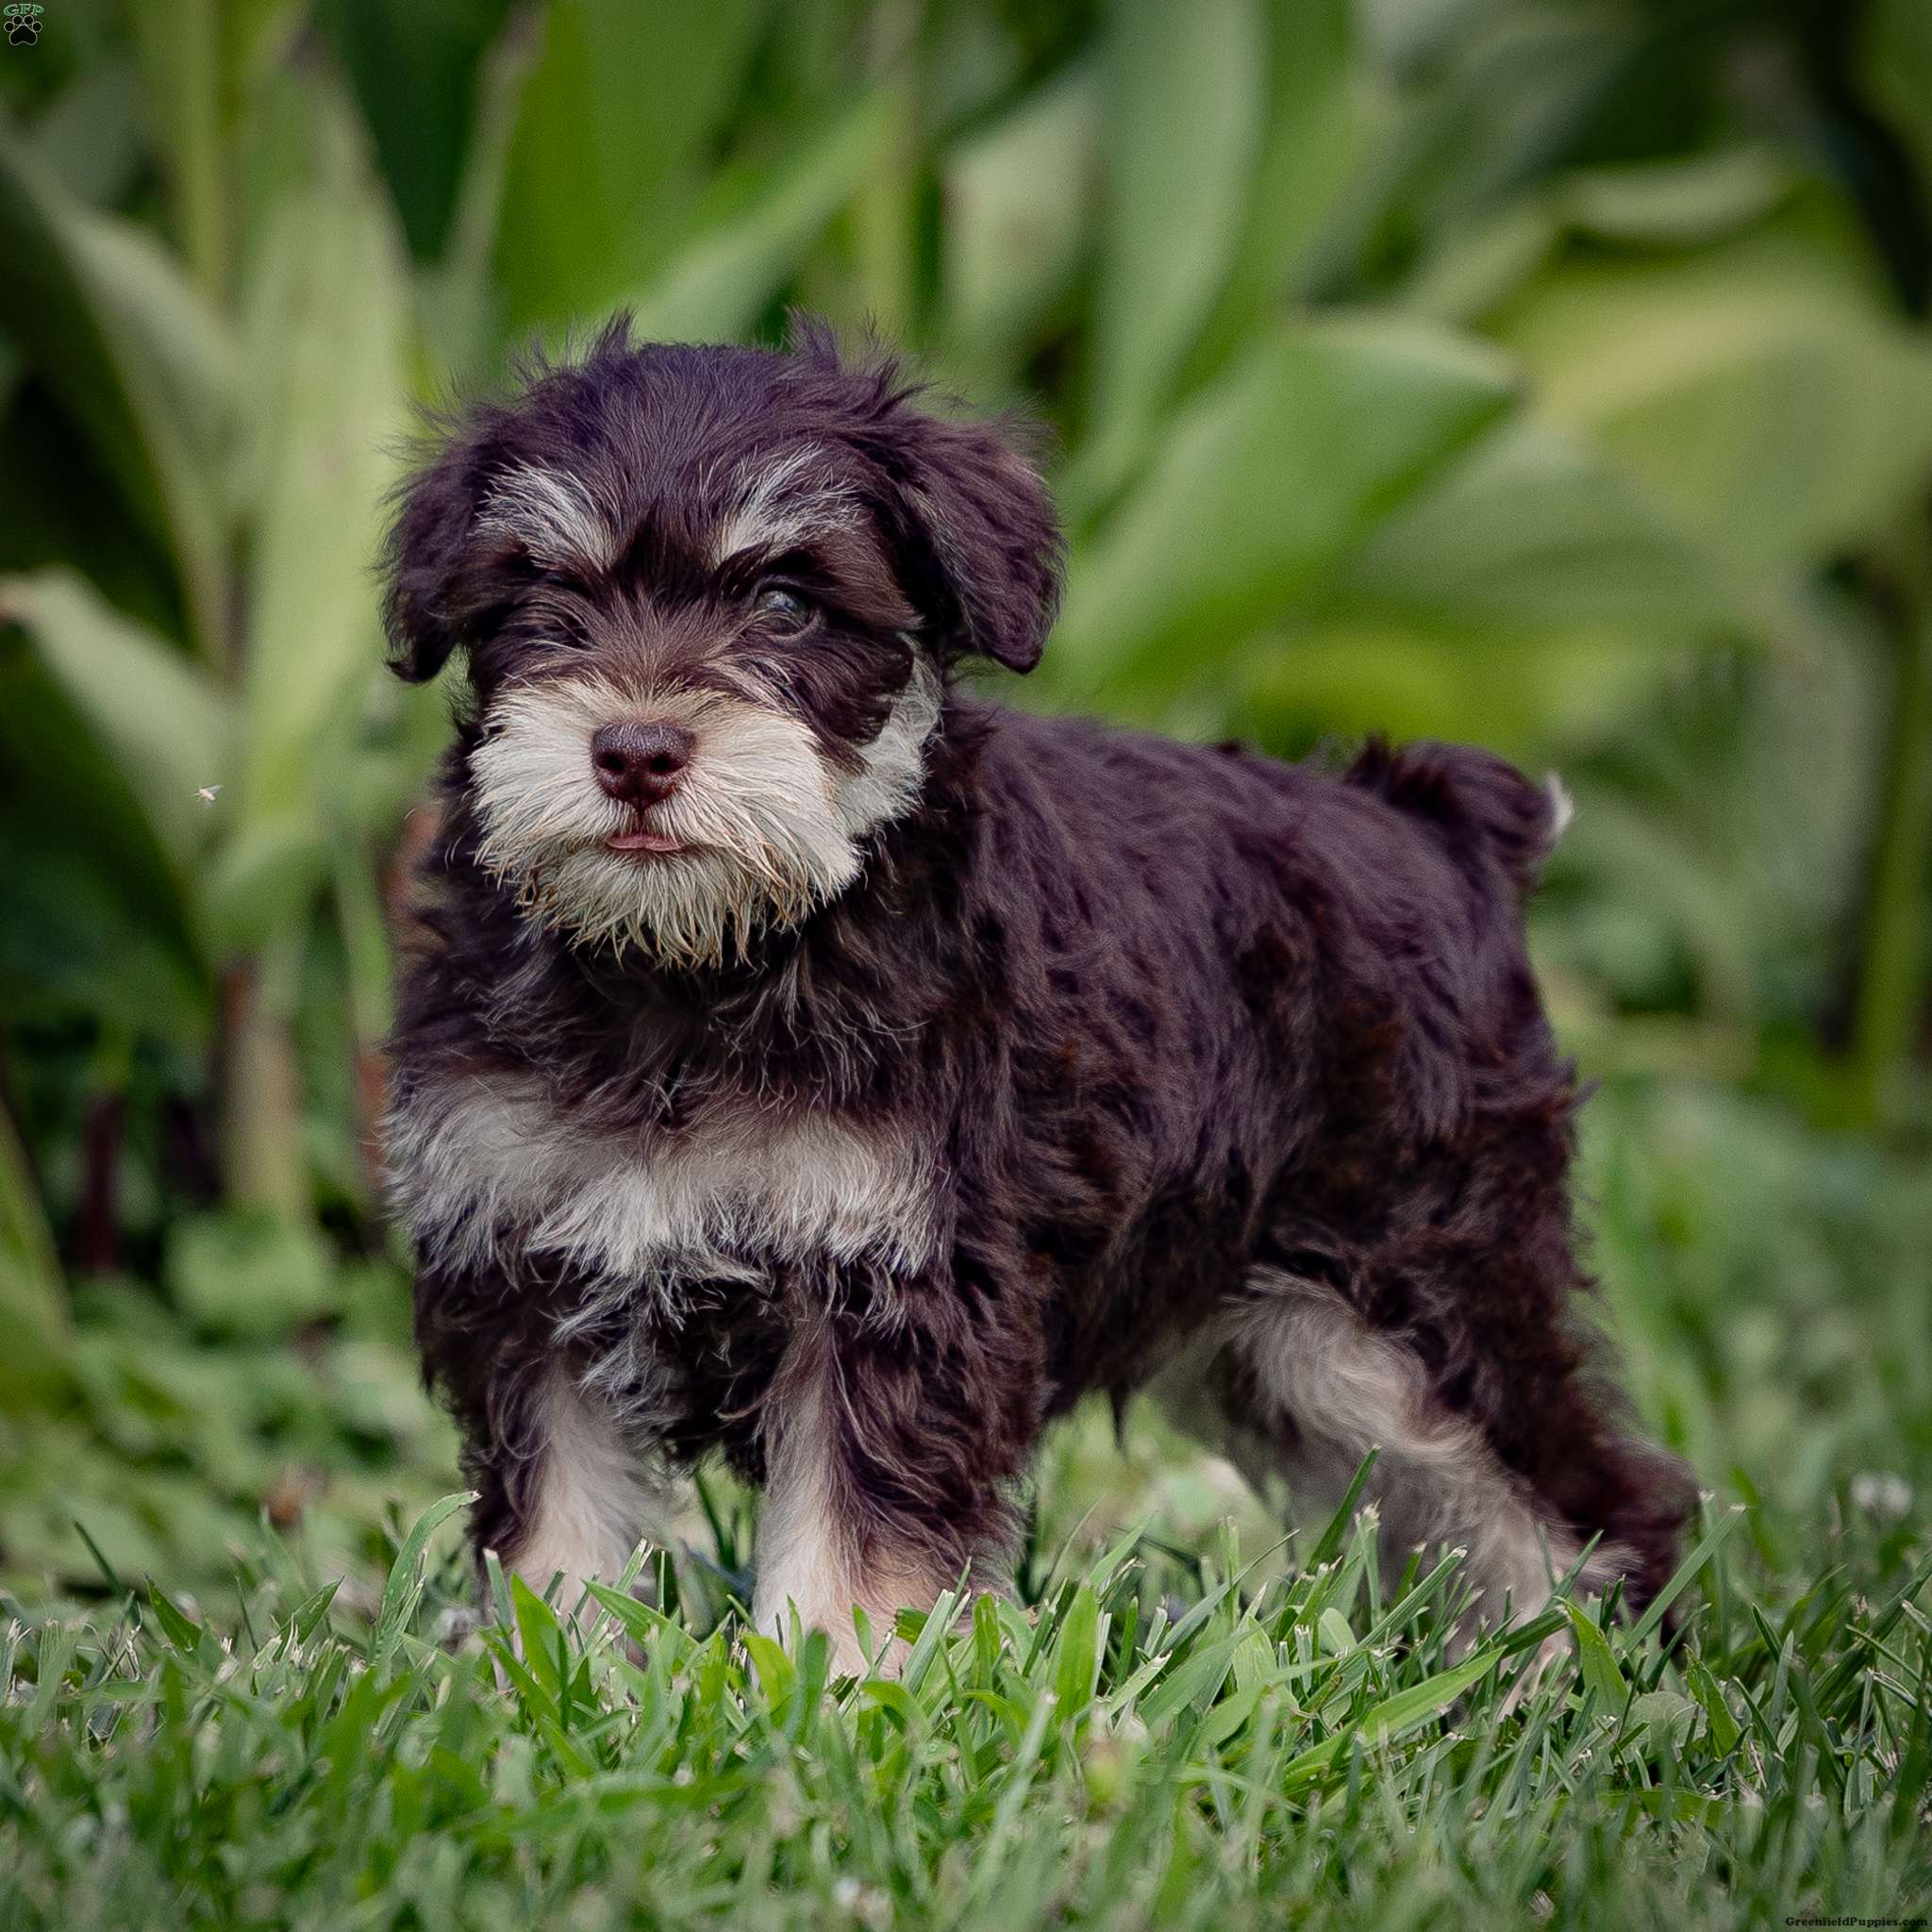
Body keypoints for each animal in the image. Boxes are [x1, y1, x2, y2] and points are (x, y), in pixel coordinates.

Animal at [380, 320, 1692, 1676]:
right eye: (547, 598)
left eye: (788, 602)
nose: (635, 753)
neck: (692, 969)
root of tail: (1440, 832)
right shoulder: (521, 1273)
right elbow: (556, 1521)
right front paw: (534, 1673)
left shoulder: (896, 1283)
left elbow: (855, 1528)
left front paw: (847, 1681)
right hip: (1285, 1350)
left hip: (1431, 1293)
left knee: (1575, 1497)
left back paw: (1569, 1674)